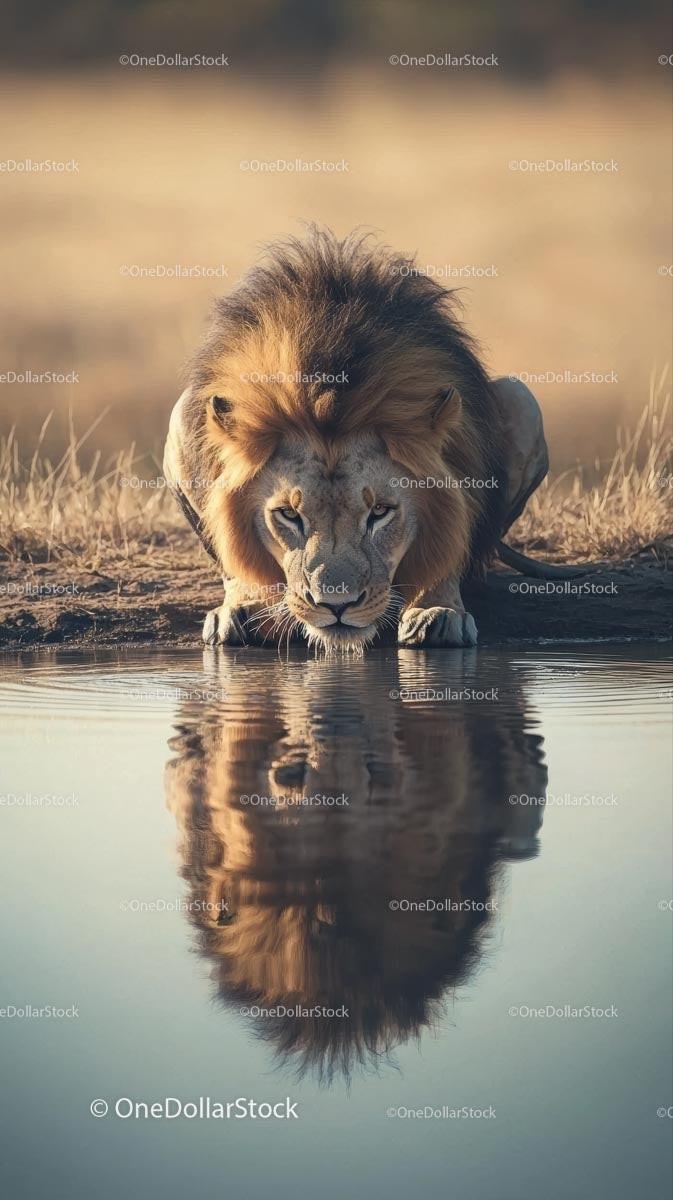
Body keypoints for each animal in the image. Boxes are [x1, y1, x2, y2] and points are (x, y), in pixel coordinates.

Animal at [164, 229, 550, 650]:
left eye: (380, 511)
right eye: (288, 514)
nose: (337, 605)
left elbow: (448, 551)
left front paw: (437, 611)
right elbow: (235, 556)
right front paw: (245, 608)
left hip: (522, 397)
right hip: (180, 414)